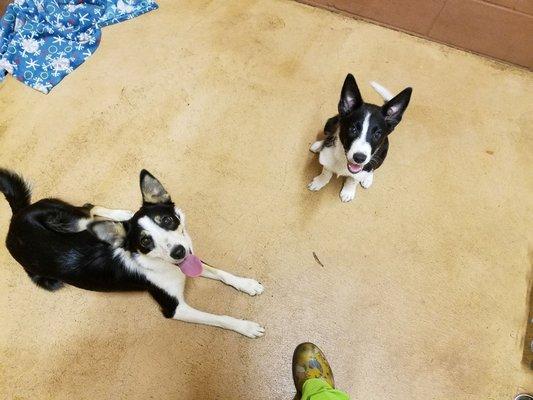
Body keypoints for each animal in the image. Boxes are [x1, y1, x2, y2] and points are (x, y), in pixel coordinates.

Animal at [0, 169, 266, 338]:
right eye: (145, 241)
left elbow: (221, 272)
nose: (178, 251)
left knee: (92, 208)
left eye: (167, 220)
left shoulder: (190, 260)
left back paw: (120, 216)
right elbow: (219, 318)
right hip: (55, 262)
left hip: (70, 217)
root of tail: (16, 218)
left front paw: (247, 284)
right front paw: (246, 327)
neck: (164, 266)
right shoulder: (175, 308)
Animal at [308, 73, 412, 202]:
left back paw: (367, 179)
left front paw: (348, 191)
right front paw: (319, 181)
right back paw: (319, 145)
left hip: (383, 154)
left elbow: (354, 179)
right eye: (353, 129)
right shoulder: (328, 158)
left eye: (377, 134)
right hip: (330, 122)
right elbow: (326, 171)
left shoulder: (362, 168)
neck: (343, 159)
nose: (359, 158)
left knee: (372, 168)